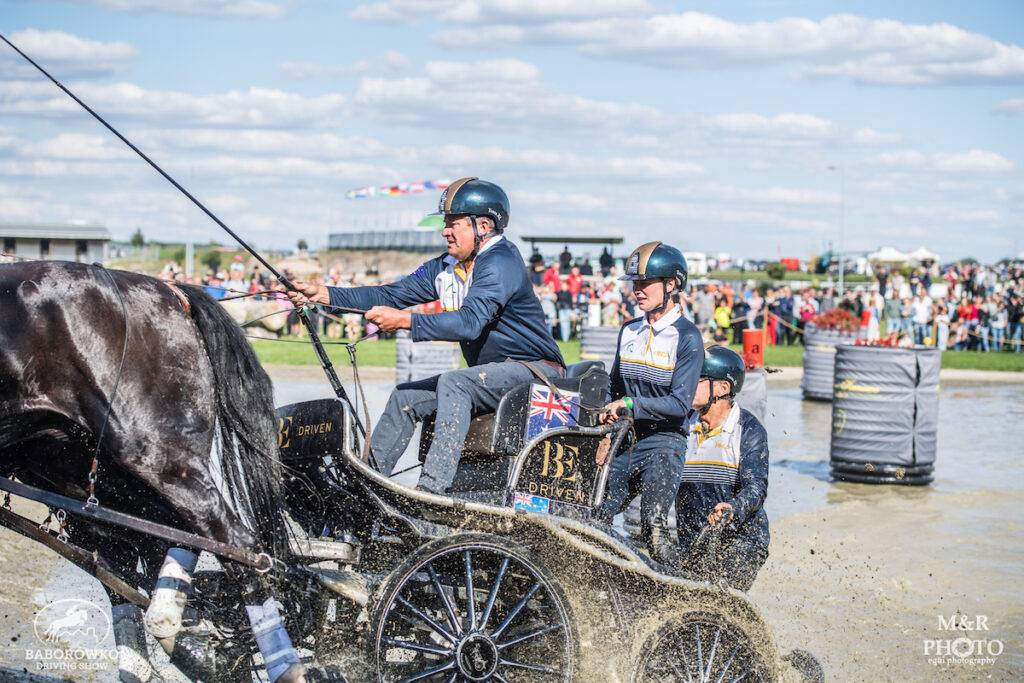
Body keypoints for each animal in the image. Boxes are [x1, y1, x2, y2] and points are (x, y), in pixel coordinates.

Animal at [0, 259, 299, 681]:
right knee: (144, 550)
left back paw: (283, 665)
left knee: (237, 546)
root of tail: (171, 291)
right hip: (85, 472)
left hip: (155, 453)